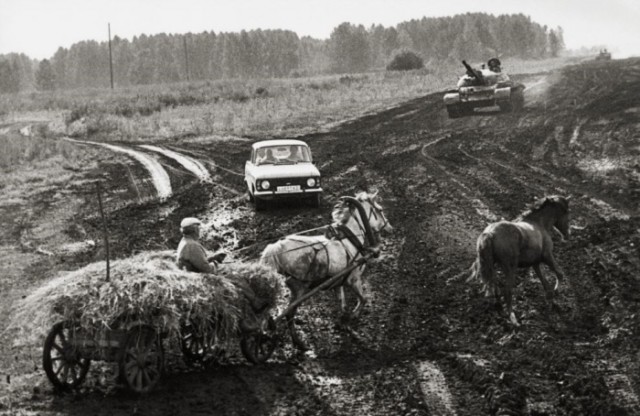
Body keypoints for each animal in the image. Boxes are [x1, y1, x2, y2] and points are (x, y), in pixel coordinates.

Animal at [258, 191, 390, 348]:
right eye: (380, 210)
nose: (389, 227)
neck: (349, 240)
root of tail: (276, 248)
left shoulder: (339, 282)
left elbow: (342, 303)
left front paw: (343, 322)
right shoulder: (354, 280)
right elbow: (363, 299)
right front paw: (352, 316)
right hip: (299, 289)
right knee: (289, 314)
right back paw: (298, 342)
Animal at [470, 195, 568, 324]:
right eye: (566, 213)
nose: (567, 234)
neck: (538, 223)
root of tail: (490, 233)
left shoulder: (535, 263)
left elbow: (545, 282)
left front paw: (551, 300)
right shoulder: (547, 257)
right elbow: (559, 274)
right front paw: (555, 293)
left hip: (493, 266)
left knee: (494, 286)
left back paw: (499, 306)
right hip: (510, 268)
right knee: (507, 291)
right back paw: (513, 319)